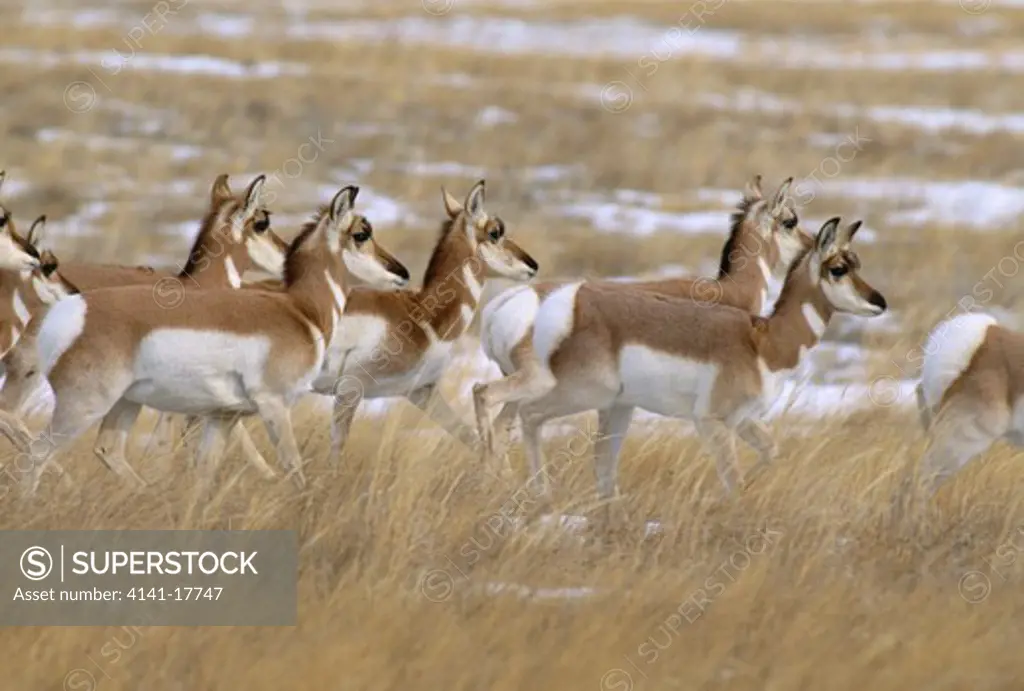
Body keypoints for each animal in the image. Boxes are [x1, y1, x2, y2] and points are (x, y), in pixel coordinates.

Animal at [14, 186, 407, 495]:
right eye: (362, 233)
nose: (401, 272)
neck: (301, 310)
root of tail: (70, 311)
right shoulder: (274, 406)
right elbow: (294, 468)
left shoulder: (222, 417)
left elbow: (205, 475)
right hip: (83, 406)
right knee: (37, 453)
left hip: (125, 403)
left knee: (107, 450)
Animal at [225, 181, 540, 466]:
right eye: (495, 232)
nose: (533, 264)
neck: (423, 317)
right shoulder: (350, 391)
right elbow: (337, 450)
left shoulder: (422, 392)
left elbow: (472, 439)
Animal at [507, 219, 884, 505]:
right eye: (838, 268)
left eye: (858, 262)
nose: (880, 302)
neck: (762, 342)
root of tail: (569, 302)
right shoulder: (711, 423)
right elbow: (734, 481)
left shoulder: (743, 421)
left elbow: (769, 453)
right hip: (586, 395)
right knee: (527, 414)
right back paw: (540, 493)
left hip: (614, 406)